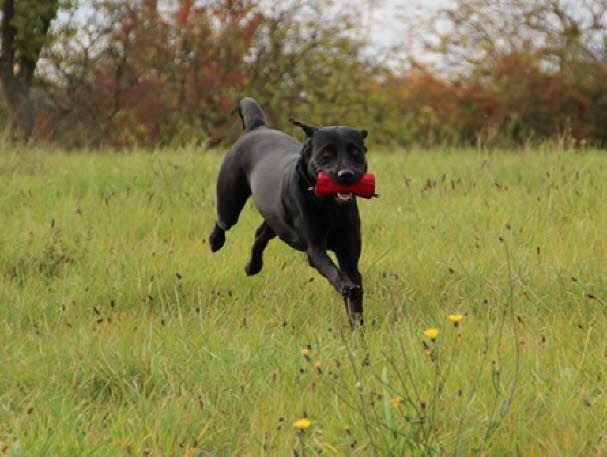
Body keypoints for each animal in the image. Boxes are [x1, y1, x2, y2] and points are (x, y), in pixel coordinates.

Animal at [209, 97, 370, 324]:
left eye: (356, 153)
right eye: (326, 154)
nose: (346, 174)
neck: (329, 206)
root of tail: (257, 127)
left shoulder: (349, 255)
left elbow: (355, 301)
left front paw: (358, 329)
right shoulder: (315, 248)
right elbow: (332, 269)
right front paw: (345, 286)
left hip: (275, 219)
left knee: (260, 234)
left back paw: (253, 266)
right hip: (230, 201)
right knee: (223, 221)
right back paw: (215, 241)